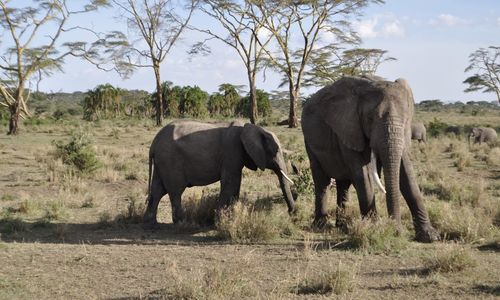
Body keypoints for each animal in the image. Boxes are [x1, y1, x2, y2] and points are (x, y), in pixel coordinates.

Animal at [143, 119, 294, 225]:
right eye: (276, 151)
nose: (291, 213)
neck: (252, 127)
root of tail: (153, 144)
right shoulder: (232, 150)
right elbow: (231, 182)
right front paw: (222, 221)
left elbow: (234, 185)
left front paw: (229, 217)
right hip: (170, 161)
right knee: (175, 191)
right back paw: (183, 223)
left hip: (162, 162)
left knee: (158, 190)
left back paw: (151, 223)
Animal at [300, 75, 438, 244]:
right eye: (370, 118)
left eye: (406, 119)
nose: (396, 230)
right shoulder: (348, 128)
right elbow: (363, 174)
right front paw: (376, 229)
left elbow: (407, 174)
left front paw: (430, 236)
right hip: (309, 142)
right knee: (322, 181)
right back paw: (321, 226)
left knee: (343, 185)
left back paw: (342, 226)